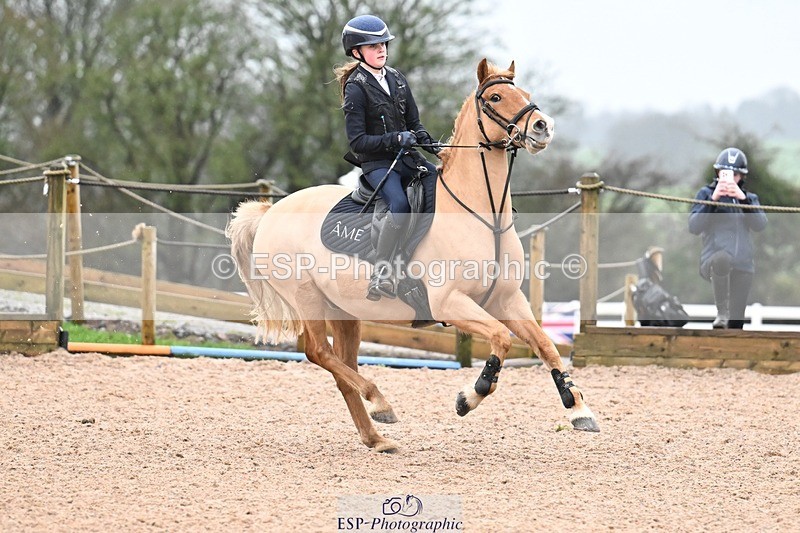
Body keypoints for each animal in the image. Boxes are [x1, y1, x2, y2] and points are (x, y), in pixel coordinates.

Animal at [227, 59, 600, 453]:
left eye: (526, 94)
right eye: (496, 97)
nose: (544, 127)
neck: (484, 218)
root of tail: (271, 212)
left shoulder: (508, 300)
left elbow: (545, 345)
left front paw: (579, 410)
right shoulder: (449, 303)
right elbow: (501, 338)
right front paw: (470, 396)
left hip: (344, 312)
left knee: (342, 368)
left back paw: (377, 438)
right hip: (307, 298)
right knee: (318, 353)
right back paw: (381, 403)